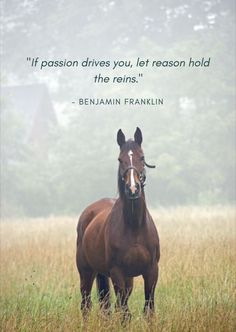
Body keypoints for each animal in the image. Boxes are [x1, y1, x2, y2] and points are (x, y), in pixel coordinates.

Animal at [76, 127, 159, 320]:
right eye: (120, 159)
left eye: (142, 157)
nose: (133, 189)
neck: (134, 227)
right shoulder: (117, 273)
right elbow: (124, 312)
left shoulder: (151, 271)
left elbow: (148, 310)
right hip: (86, 272)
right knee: (86, 305)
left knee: (106, 306)